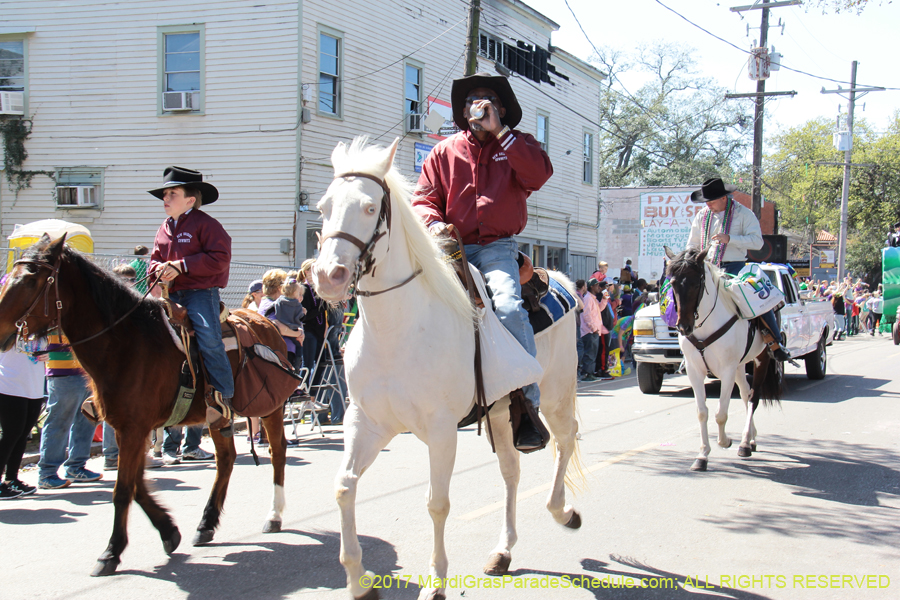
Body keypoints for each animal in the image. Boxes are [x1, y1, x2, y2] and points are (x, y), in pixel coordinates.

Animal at [0, 234, 288, 576]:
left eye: (33, 279)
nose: (2, 331)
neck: (124, 342)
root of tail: (266, 322)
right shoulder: (126, 429)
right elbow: (136, 483)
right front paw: (168, 530)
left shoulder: (134, 429)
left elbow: (124, 489)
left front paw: (111, 552)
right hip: (217, 417)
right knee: (227, 460)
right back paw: (206, 524)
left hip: (270, 408)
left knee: (277, 453)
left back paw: (274, 516)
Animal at [312, 137, 580, 600]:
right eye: (324, 207)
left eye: (369, 207)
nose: (329, 276)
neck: (397, 328)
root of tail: (562, 279)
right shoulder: (365, 421)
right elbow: (344, 487)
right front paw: (359, 579)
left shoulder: (440, 430)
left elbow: (437, 504)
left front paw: (435, 582)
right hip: (502, 413)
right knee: (511, 470)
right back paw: (503, 551)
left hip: (556, 395)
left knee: (565, 440)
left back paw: (562, 511)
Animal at [664, 246, 784, 472]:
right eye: (673, 283)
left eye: (696, 283)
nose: (684, 326)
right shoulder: (695, 370)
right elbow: (702, 412)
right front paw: (702, 455)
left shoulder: (727, 370)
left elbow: (721, 413)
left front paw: (725, 441)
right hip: (740, 365)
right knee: (746, 394)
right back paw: (751, 438)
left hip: (760, 360)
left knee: (753, 398)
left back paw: (744, 443)